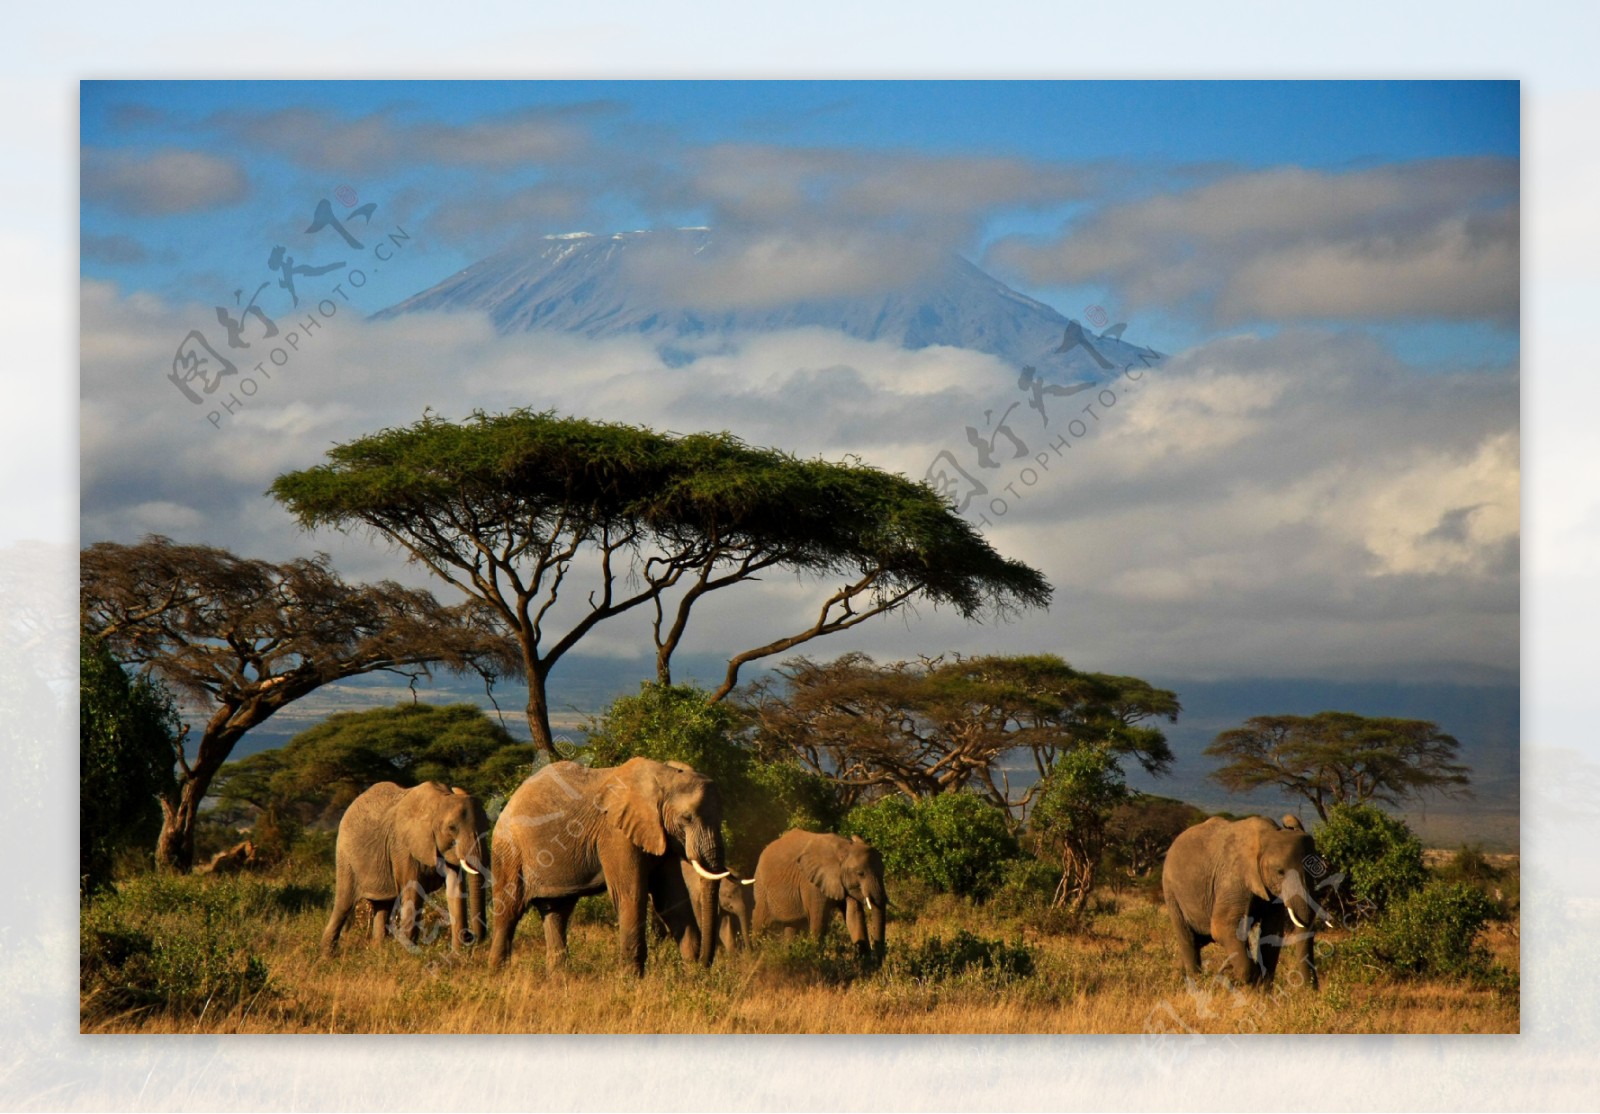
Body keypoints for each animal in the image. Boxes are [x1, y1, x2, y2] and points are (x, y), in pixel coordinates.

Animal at [315, 784, 483, 960]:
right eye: (452, 828)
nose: (470, 936)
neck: (439, 799)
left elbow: (455, 890)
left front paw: (457, 957)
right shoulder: (403, 848)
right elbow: (413, 892)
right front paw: (409, 957)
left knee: (383, 905)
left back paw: (378, 953)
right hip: (346, 858)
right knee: (344, 904)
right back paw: (326, 957)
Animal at [486, 758, 732, 973]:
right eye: (687, 818)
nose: (705, 965)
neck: (665, 776)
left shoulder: (663, 835)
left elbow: (670, 900)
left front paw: (692, 977)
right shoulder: (616, 834)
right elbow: (631, 895)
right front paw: (631, 982)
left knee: (556, 912)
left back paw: (559, 980)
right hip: (509, 850)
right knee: (509, 910)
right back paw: (498, 975)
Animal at [748, 825, 889, 960]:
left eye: (883, 870)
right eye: (860, 873)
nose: (879, 959)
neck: (845, 849)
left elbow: (853, 916)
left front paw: (866, 965)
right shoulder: (810, 884)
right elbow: (818, 922)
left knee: (791, 927)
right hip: (761, 887)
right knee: (759, 922)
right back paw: (754, 960)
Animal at [1158, 813, 1331, 985]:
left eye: (1318, 869)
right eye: (1280, 872)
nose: (1310, 989)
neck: (1269, 835)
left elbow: (1272, 933)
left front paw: (1260, 988)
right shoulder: (1233, 879)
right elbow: (1222, 927)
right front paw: (1250, 984)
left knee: (1198, 941)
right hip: (1171, 892)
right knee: (1189, 941)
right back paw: (1196, 983)